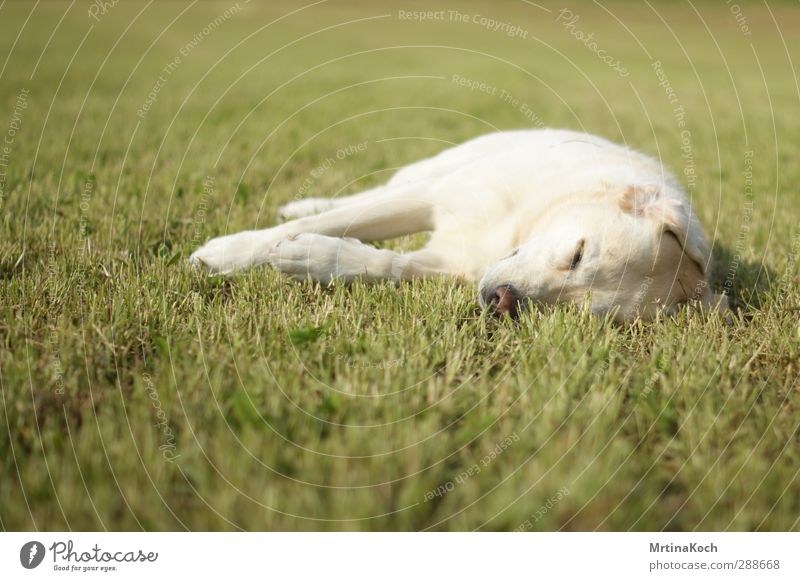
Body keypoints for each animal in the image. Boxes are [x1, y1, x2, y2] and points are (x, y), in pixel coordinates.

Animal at [189, 128, 724, 322]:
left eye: (576, 312)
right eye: (577, 255)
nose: (503, 301)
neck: (514, 229)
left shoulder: (447, 260)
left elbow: (386, 264)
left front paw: (315, 256)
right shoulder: (430, 197)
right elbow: (336, 220)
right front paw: (226, 253)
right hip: (431, 171)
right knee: (362, 196)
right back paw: (298, 206)